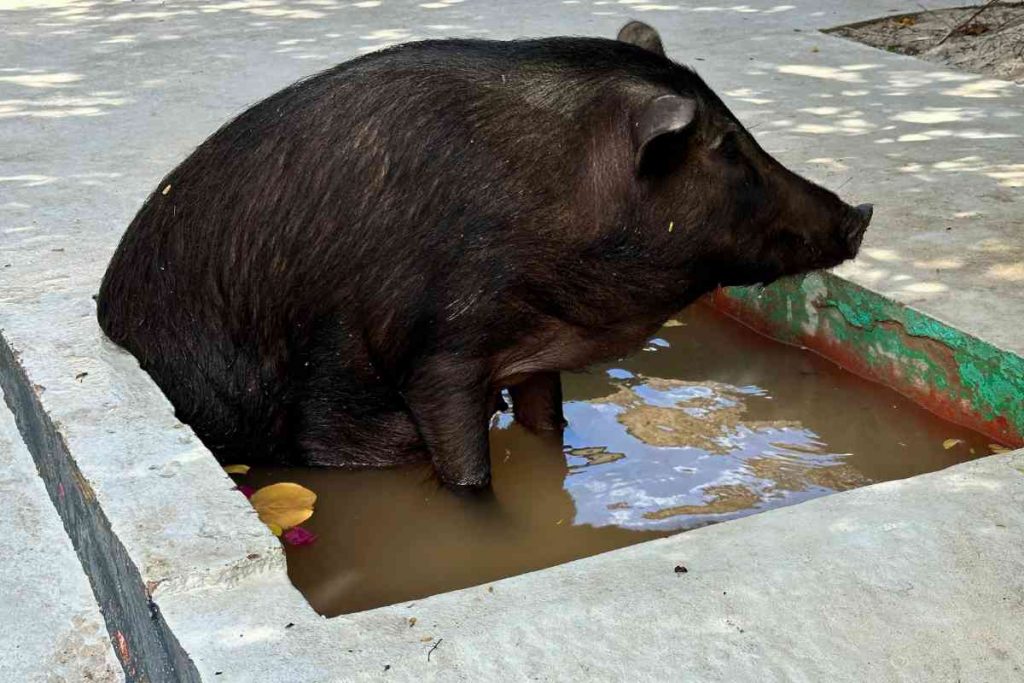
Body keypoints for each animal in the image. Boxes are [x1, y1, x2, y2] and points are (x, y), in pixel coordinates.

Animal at [97, 21, 872, 491]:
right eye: (727, 147)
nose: (860, 213)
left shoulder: (530, 351)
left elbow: (547, 424)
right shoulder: (438, 353)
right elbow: (467, 472)